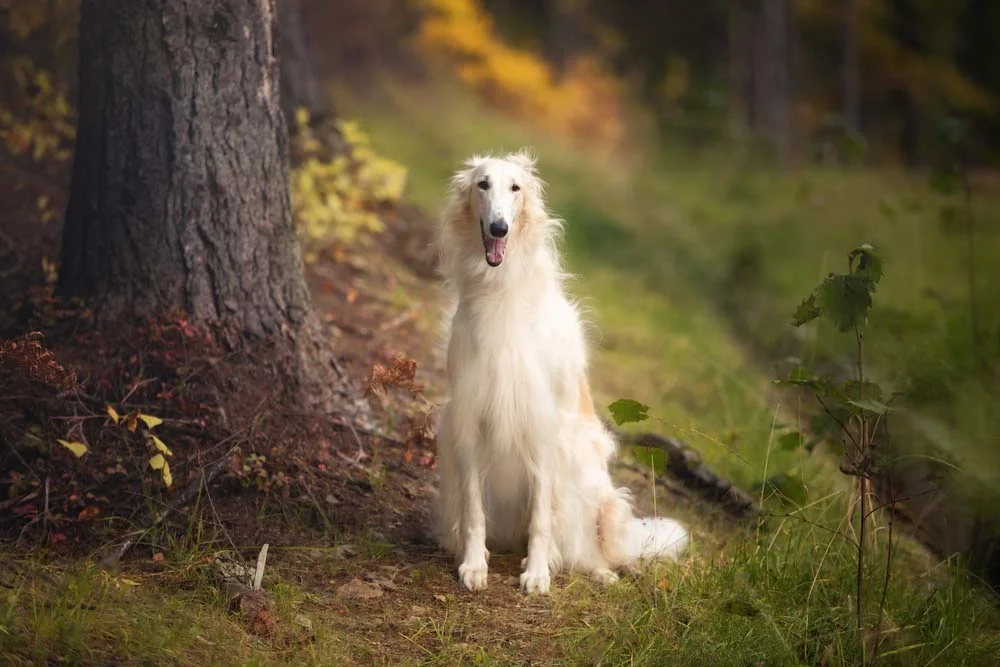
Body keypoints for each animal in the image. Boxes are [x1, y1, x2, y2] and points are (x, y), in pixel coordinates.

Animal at [430, 150, 688, 596]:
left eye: (516, 187)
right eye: (483, 184)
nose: (499, 227)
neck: (502, 289)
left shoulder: (546, 424)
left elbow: (542, 518)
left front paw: (536, 573)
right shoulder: (467, 416)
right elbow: (474, 511)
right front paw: (474, 565)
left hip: (588, 480)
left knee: (587, 547)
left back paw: (595, 570)